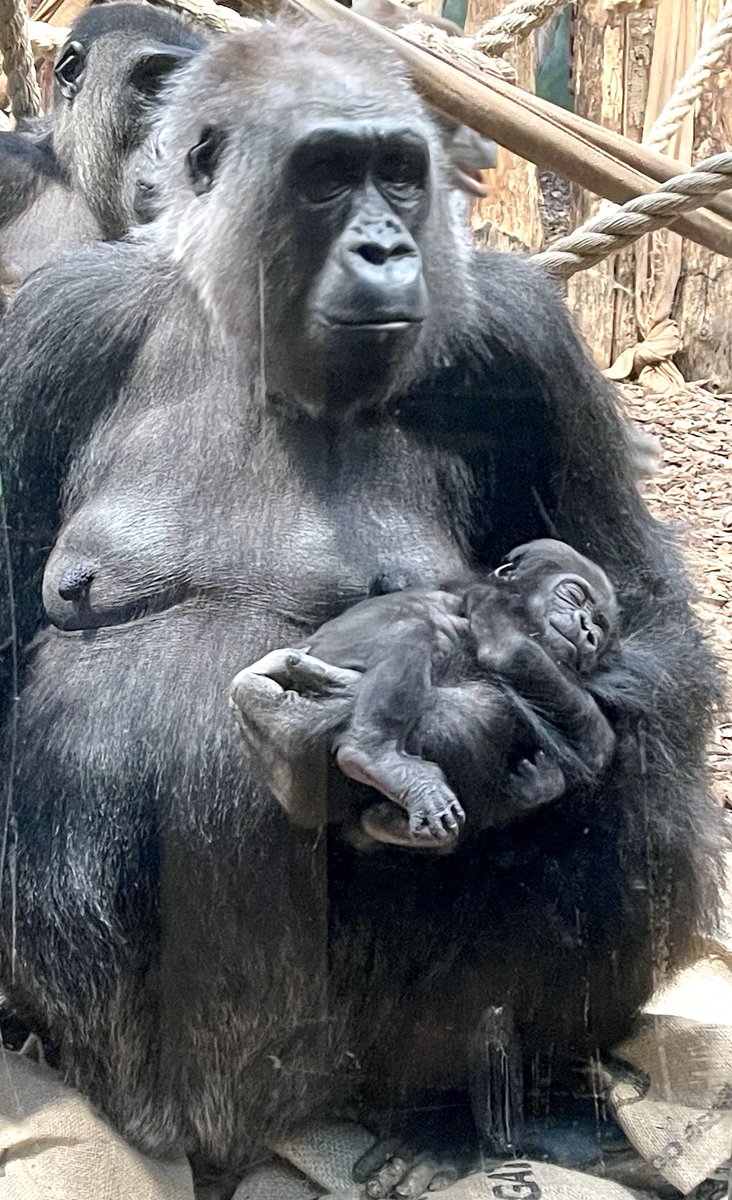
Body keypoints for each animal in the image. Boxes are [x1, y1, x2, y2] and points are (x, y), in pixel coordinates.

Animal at [232, 540, 614, 849]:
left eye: (600, 622)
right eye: (574, 596)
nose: (588, 629)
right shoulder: (498, 606)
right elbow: (509, 652)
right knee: (414, 633)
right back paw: (376, 757)